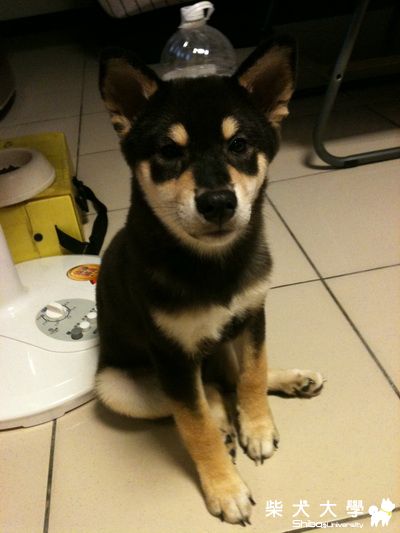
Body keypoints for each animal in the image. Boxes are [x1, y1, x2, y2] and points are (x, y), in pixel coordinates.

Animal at [95, 37, 324, 525]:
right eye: (168, 151)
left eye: (238, 144)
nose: (218, 202)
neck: (213, 265)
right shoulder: (171, 354)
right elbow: (194, 423)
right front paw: (225, 488)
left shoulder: (253, 313)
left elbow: (253, 374)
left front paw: (257, 427)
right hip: (115, 387)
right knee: (208, 391)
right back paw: (223, 421)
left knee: (229, 377)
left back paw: (291, 381)